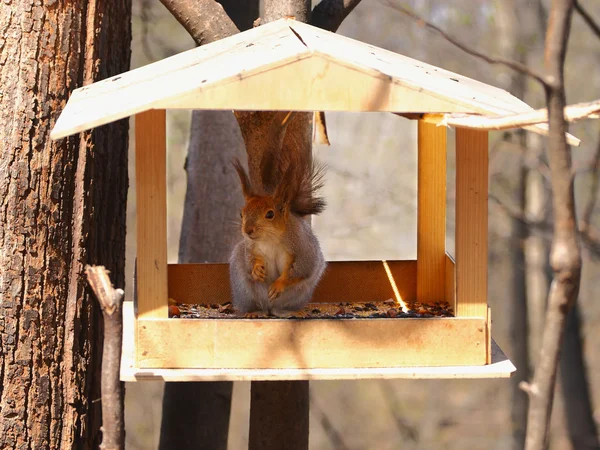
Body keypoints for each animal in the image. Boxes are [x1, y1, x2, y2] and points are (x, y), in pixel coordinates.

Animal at [227, 118, 326, 314]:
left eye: (270, 214)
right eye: (241, 213)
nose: (248, 230)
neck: (270, 238)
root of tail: (269, 308)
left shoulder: (303, 246)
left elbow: (302, 268)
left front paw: (279, 284)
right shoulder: (250, 246)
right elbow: (250, 259)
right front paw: (256, 269)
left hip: (298, 295)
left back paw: (286, 311)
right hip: (243, 288)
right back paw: (253, 312)